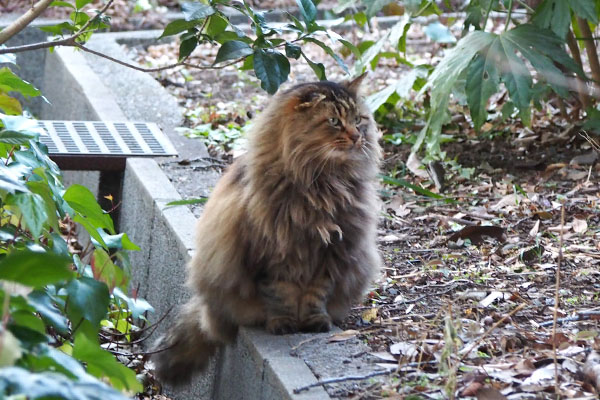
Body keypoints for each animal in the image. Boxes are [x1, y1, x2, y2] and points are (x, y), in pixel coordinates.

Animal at [154, 75, 380, 384]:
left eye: (359, 120)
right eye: (334, 121)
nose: (357, 136)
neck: (323, 181)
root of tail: (205, 312)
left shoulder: (330, 252)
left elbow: (316, 293)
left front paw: (314, 321)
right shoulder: (271, 254)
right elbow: (279, 296)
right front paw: (284, 323)